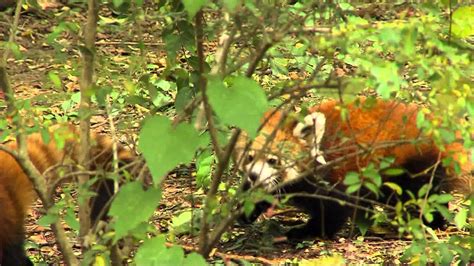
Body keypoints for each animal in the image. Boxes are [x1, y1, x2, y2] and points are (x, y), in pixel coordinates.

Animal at [235, 97, 472, 241]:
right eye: (250, 157)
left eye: (273, 160)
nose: (254, 175)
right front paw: (245, 210)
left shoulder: (336, 175)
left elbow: (334, 209)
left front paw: (310, 230)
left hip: (412, 164)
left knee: (420, 196)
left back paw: (428, 223)